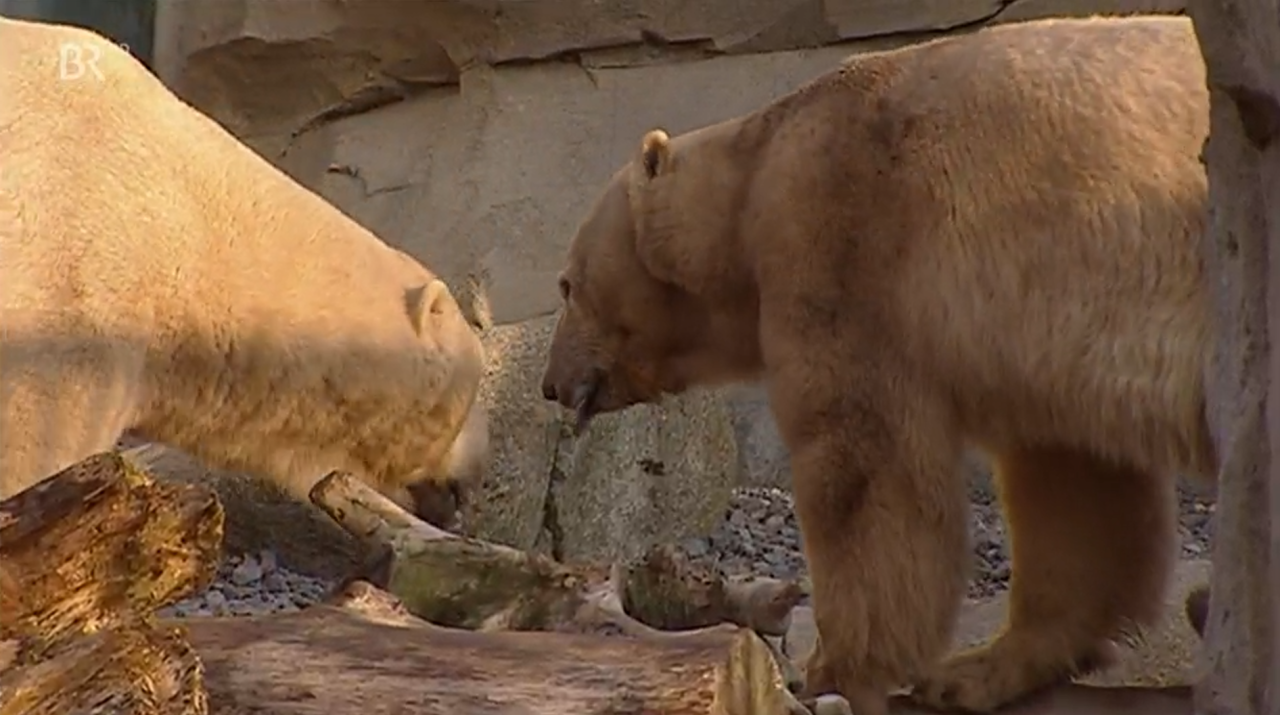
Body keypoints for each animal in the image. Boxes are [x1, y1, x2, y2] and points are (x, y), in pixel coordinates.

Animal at [540, 12, 1218, 715]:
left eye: (566, 283)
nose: (550, 383)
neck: (756, 176)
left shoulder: (843, 237)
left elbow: (866, 467)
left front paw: (830, 670)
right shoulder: (1043, 333)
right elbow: (1073, 479)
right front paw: (976, 670)